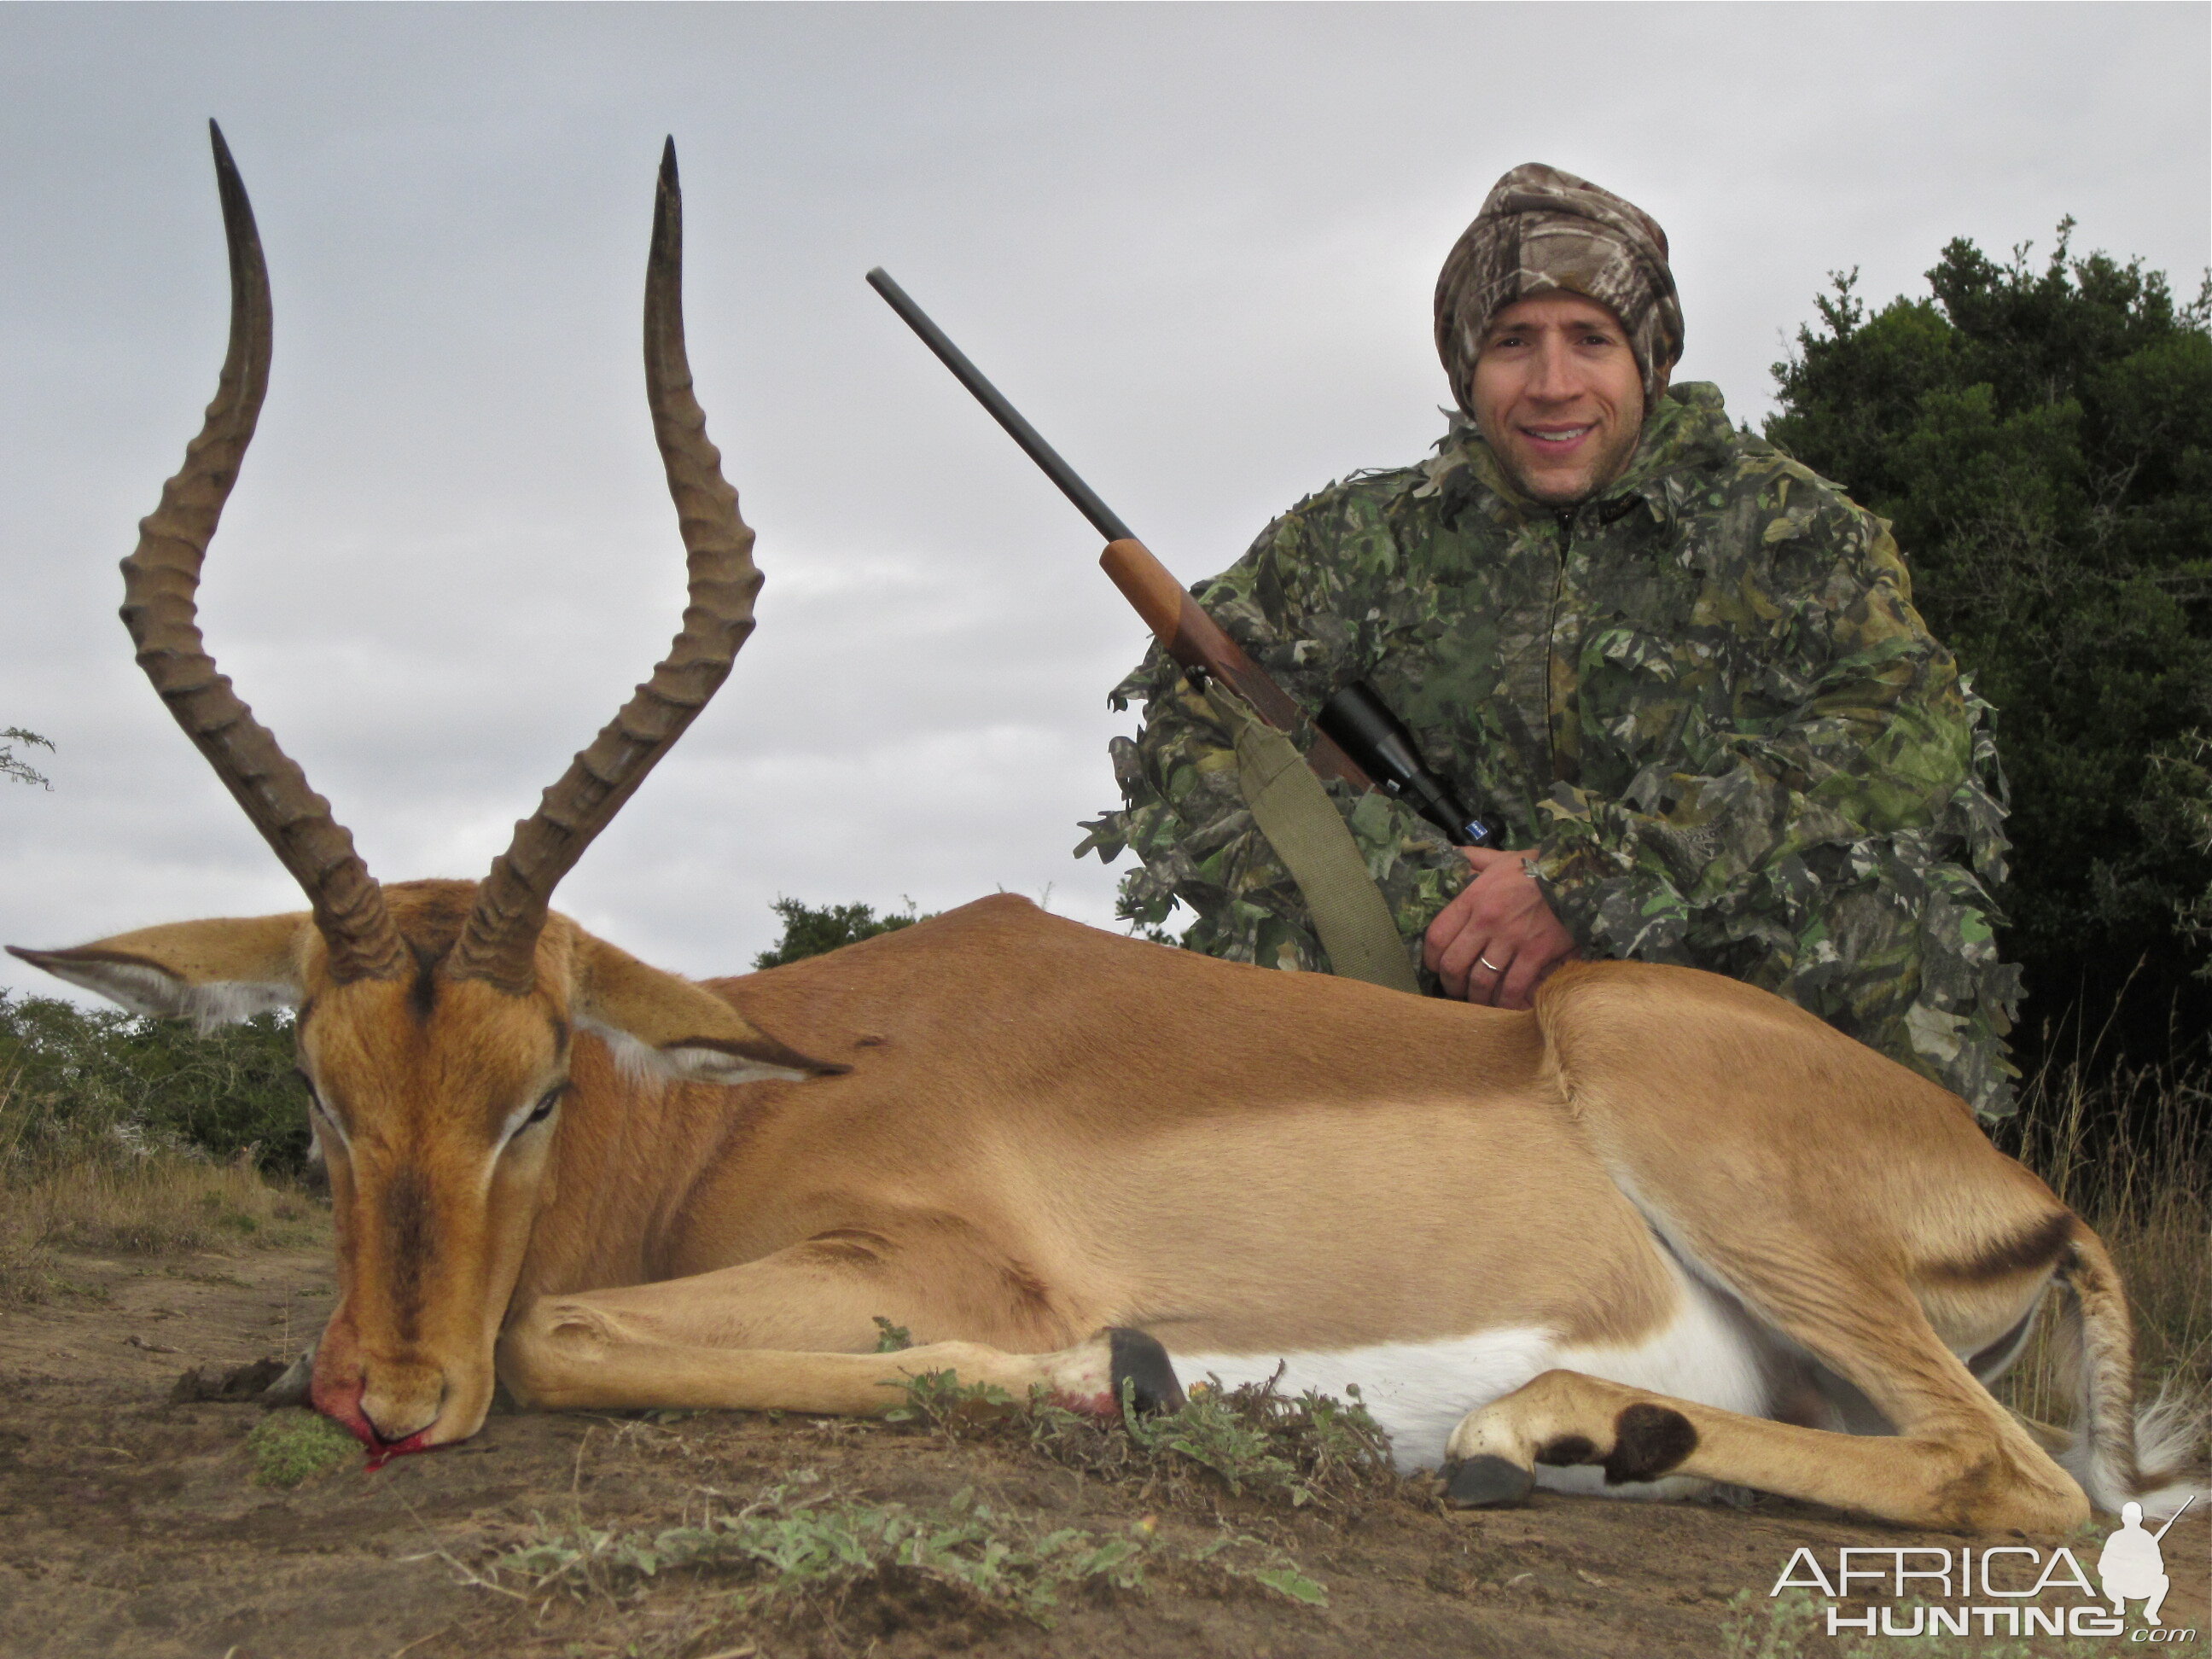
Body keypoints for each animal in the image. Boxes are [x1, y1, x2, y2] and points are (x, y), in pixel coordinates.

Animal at [13, 123, 2194, 1540]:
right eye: (316, 1091)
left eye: (540, 1087)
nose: (385, 1400)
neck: (735, 1106)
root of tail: (2021, 1186)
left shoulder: (923, 1269)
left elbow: (556, 1331)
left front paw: (1126, 1378)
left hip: (1694, 1126)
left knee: (2021, 1486)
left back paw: (1529, 1431)